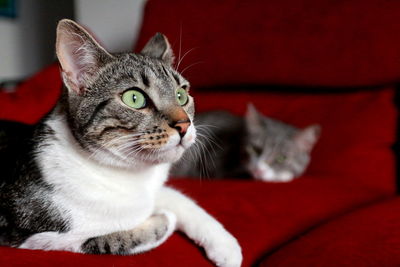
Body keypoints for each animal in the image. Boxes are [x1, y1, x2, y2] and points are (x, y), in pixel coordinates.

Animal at [0, 19, 242, 267]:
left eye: (181, 95)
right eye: (134, 98)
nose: (185, 125)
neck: (127, 175)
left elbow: (178, 198)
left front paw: (226, 246)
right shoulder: (33, 237)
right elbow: (111, 240)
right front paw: (163, 219)